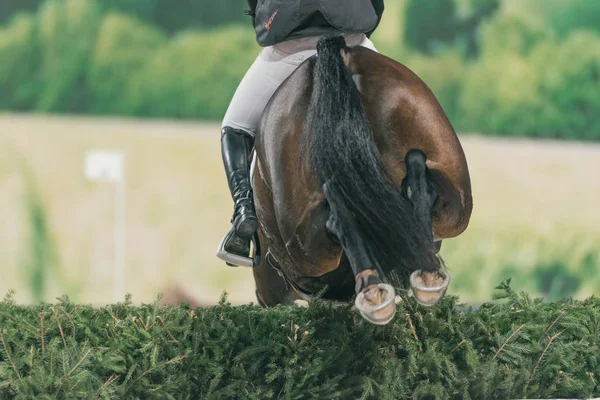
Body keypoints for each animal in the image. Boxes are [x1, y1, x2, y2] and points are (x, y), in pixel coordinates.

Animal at [218, 35, 472, 324]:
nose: (262, 297)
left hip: (306, 249)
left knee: (336, 215)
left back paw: (374, 291)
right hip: (456, 202)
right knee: (424, 186)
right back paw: (425, 274)